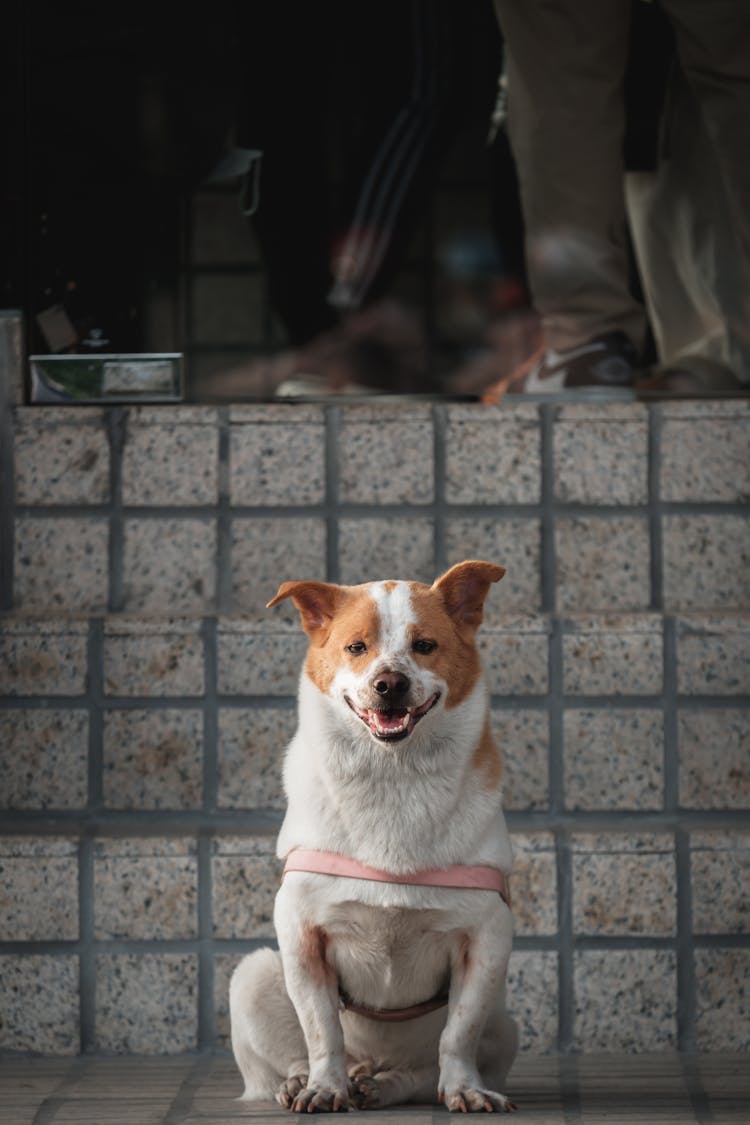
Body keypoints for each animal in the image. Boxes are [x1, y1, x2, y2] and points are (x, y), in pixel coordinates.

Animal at [231, 562, 519, 1116]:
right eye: (356, 647)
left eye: (424, 645)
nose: (390, 684)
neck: (392, 778)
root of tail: (372, 1061)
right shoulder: (300, 932)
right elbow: (322, 1030)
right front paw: (324, 1087)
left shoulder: (488, 937)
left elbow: (458, 1033)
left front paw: (465, 1088)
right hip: (252, 976)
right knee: (291, 1055)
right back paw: (303, 1082)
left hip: (505, 1022)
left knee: (421, 1071)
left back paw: (382, 1085)